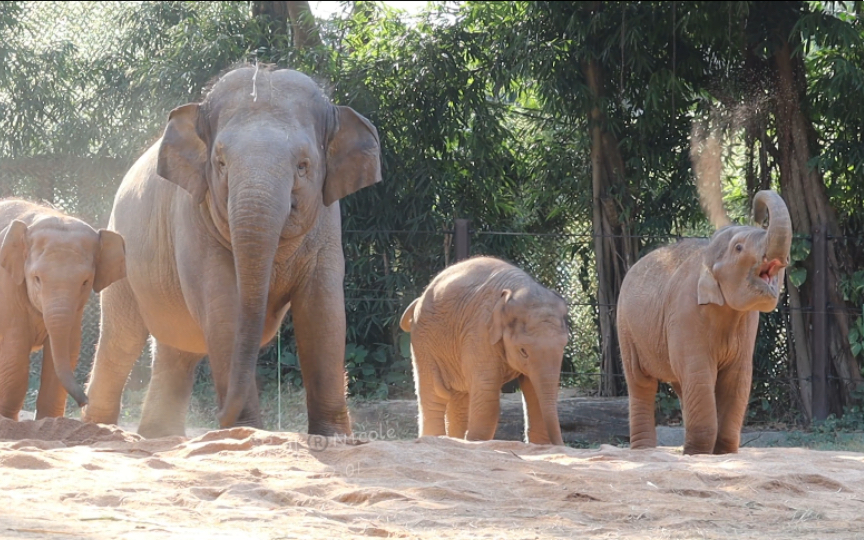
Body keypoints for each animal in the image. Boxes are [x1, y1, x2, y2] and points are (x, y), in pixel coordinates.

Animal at [0, 199, 125, 422]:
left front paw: (49, 422)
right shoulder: (7, 284)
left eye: (85, 282)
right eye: (36, 278)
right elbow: (15, 351)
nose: (85, 401)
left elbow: (66, 350)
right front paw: (7, 421)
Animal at [84, 66, 382, 438]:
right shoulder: (193, 218)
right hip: (122, 254)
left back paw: (160, 436)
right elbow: (224, 309)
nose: (220, 414)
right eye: (221, 163)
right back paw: (99, 432)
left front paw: (333, 437)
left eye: (303, 166)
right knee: (120, 340)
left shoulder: (328, 222)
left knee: (175, 349)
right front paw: (247, 433)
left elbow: (323, 313)